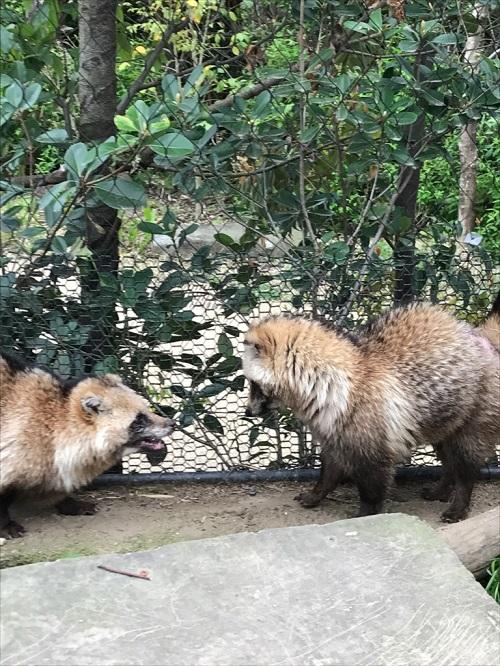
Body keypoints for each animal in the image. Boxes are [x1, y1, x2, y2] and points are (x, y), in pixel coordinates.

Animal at [0, 350, 176, 536]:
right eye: (138, 420)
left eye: (146, 409)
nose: (172, 423)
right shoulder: (15, 445)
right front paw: (5, 523)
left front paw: (68, 503)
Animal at [240, 294, 498, 520]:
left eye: (253, 384)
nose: (247, 412)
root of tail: (480, 336)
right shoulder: (335, 430)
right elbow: (330, 468)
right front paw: (317, 493)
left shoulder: (373, 437)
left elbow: (372, 485)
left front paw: (366, 515)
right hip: (444, 417)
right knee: (448, 459)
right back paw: (442, 489)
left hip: (474, 416)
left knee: (465, 465)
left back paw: (459, 502)